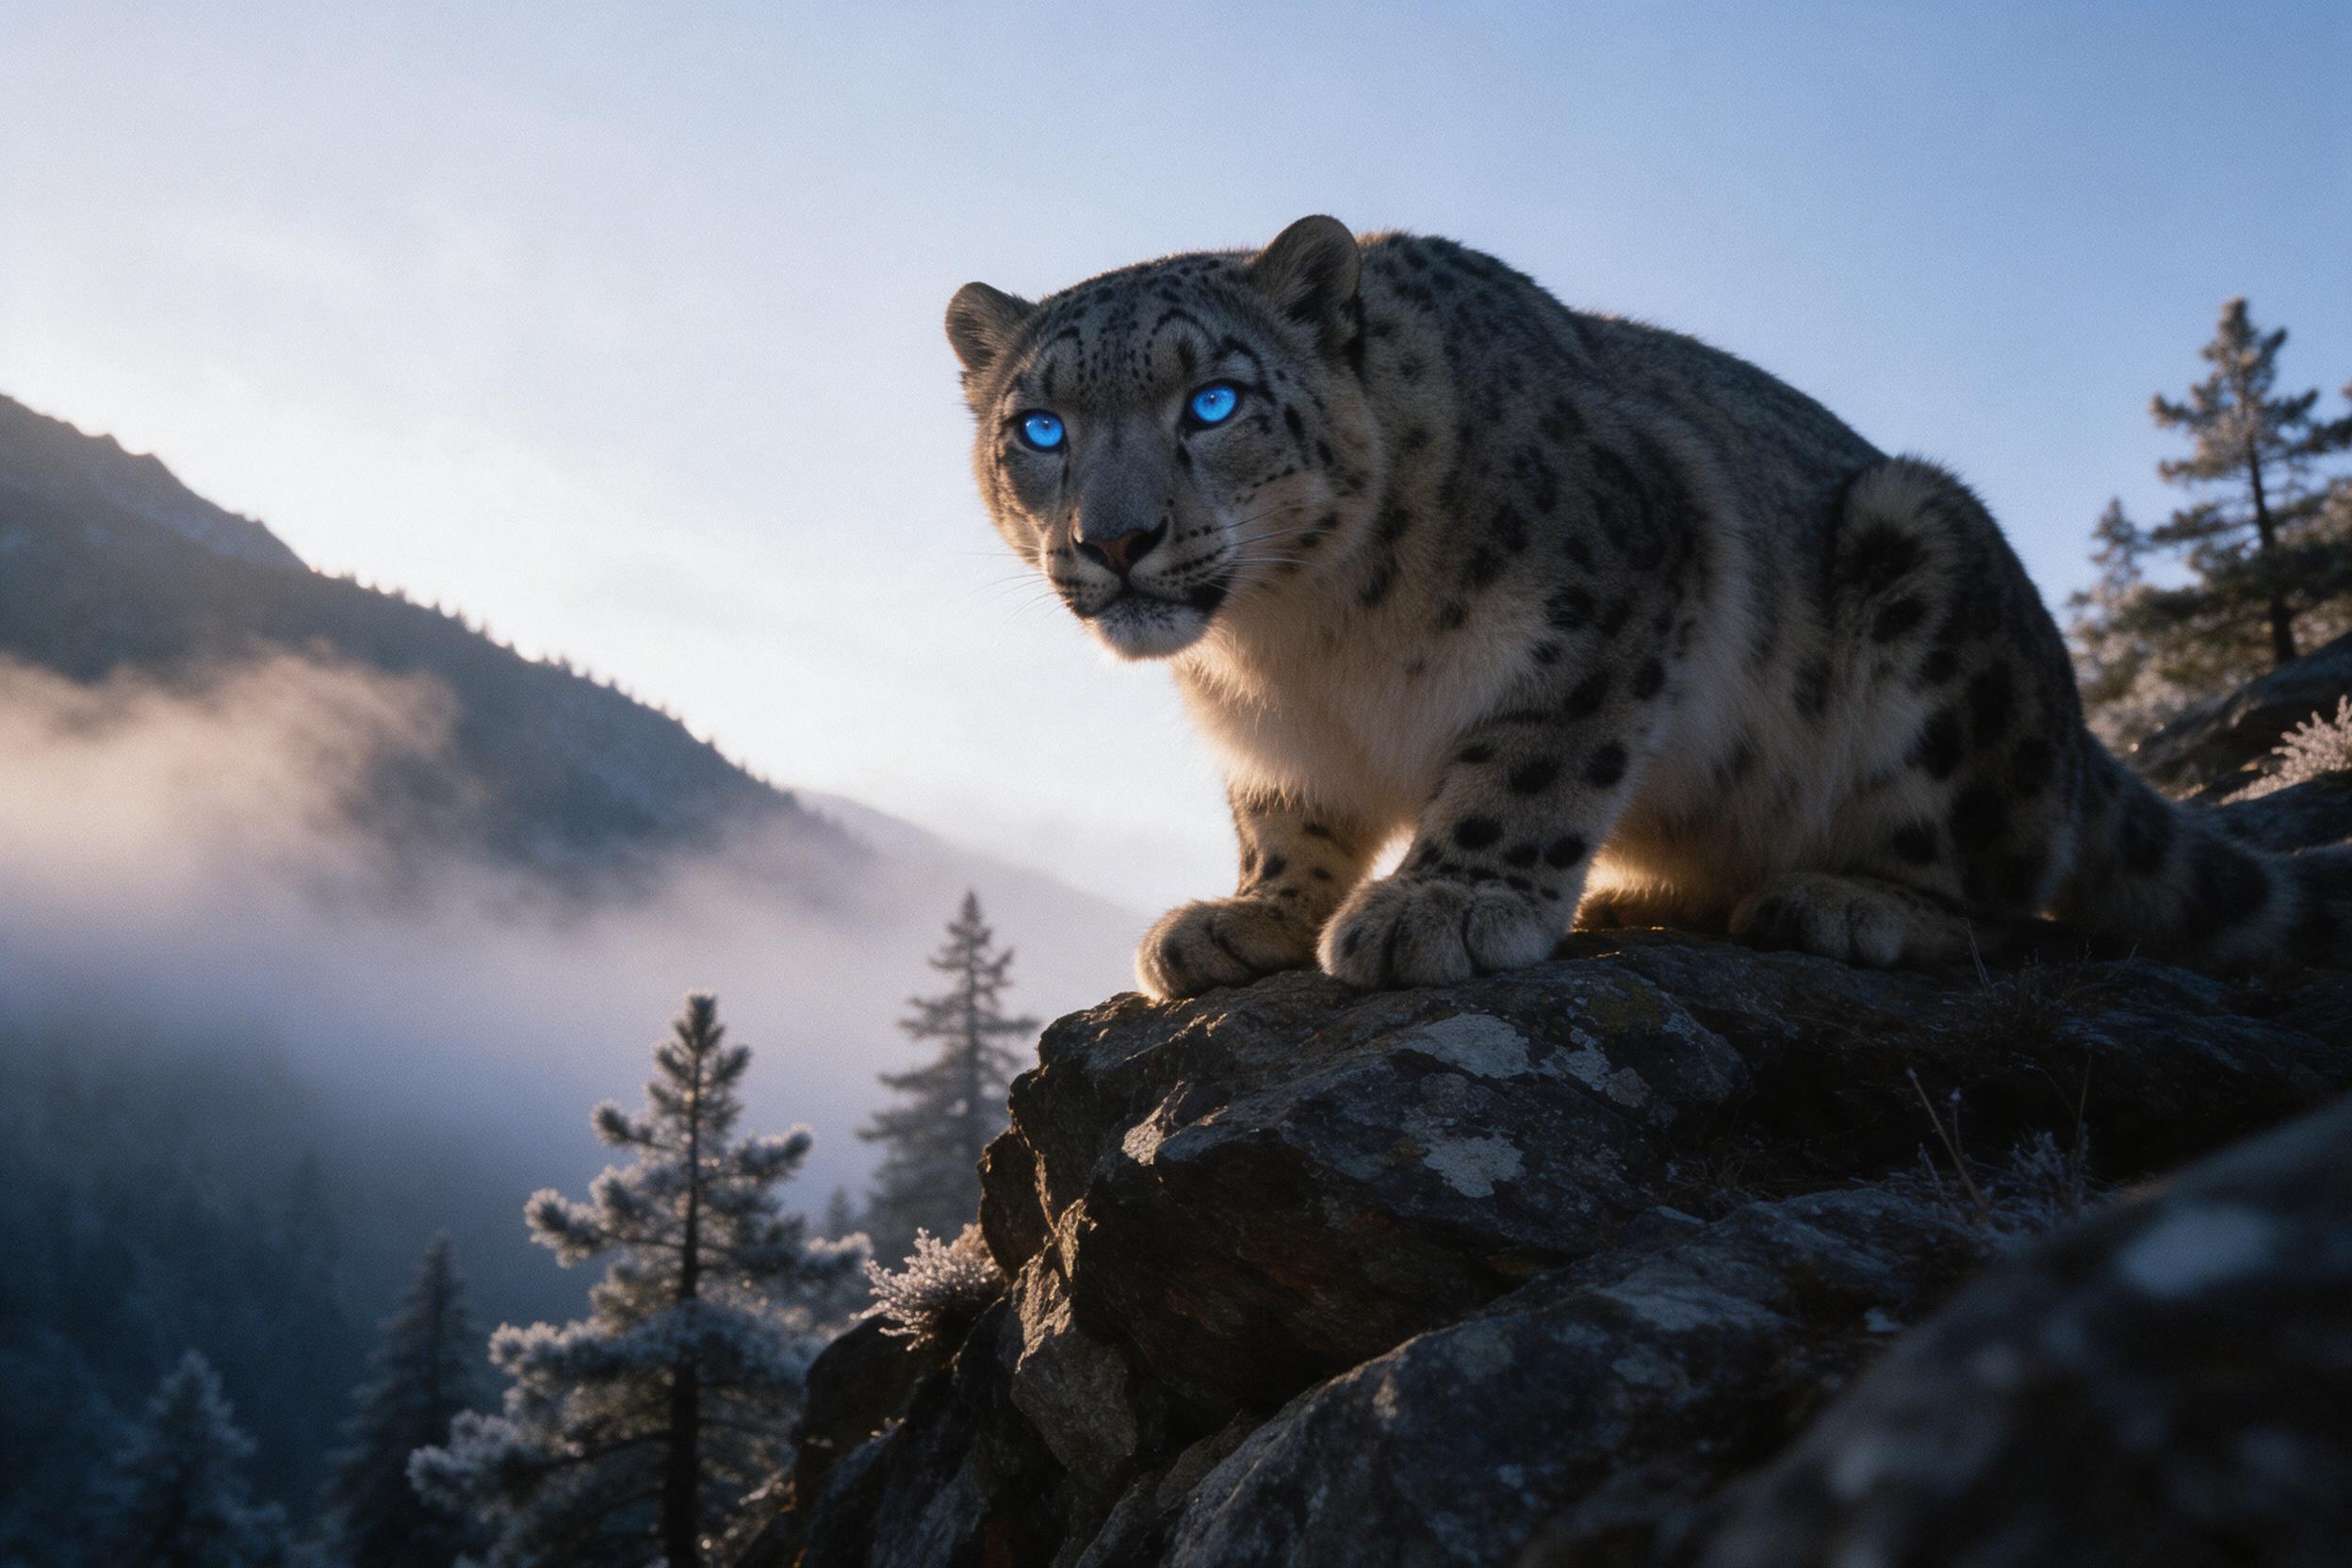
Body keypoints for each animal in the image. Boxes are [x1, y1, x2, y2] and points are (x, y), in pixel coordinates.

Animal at [945, 215, 2352, 997]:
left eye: (1215, 401)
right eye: (1041, 426)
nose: (1116, 540)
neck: (1292, 642)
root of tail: (2070, 727)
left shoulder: (1602, 605)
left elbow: (1528, 760)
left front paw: (1443, 905)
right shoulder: (1276, 742)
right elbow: (1284, 815)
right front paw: (1249, 915)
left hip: (1934, 587)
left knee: (2002, 889)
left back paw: (1846, 901)